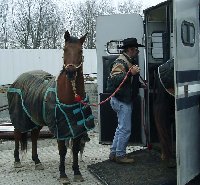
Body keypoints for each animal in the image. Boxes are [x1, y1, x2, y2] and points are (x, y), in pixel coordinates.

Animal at [7, 30, 95, 184]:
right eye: (65, 49)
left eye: (80, 50)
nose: (70, 72)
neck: (69, 96)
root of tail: (18, 79)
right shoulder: (60, 128)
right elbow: (62, 151)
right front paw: (63, 174)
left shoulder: (77, 128)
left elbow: (75, 149)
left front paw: (77, 172)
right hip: (21, 117)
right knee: (17, 133)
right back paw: (17, 160)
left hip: (35, 119)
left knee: (34, 136)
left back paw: (37, 161)